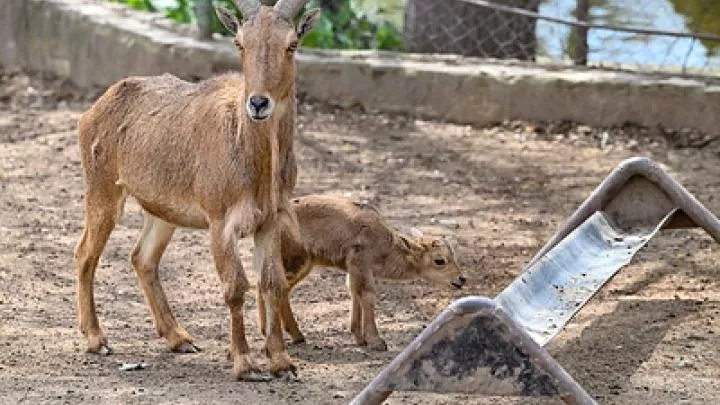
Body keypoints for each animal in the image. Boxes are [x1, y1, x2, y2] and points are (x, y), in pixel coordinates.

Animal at [74, 0, 320, 378]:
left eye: (292, 44)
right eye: (239, 42)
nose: (258, 103)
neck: (254, 160)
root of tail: (98, 106)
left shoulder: (269, 221)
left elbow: (272, 283)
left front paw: (282, 362)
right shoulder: (221, 223)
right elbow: (235, 287)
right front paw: (244, 363)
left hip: (162, 212)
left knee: (143, 258)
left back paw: (179, 338)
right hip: (102, 191)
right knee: (86, 254)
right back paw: (96, 339)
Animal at [258, 194, 466, 348]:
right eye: (439, 260)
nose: (461, 279)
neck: (384, 245)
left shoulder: (354, 270)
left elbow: (355, 293)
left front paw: (360, 337)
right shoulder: (361, 264)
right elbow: (367, 295)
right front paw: (376, 341)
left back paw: (277, 332)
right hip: (296, 261)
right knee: (275, 287)